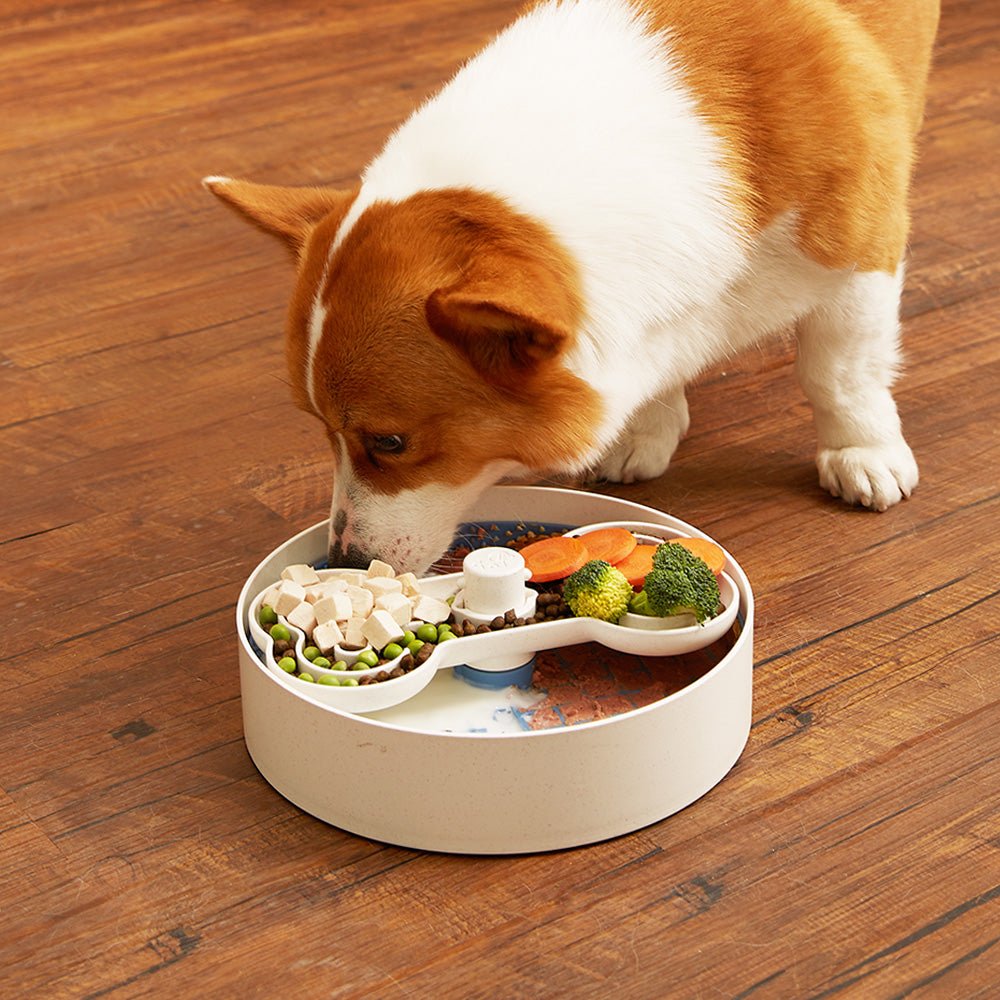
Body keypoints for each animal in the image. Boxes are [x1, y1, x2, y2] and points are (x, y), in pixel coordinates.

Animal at [207, 0, 940, 576]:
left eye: (389, 443)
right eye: (320, 430)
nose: (345, 562)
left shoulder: (864, 258)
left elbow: (837, 373)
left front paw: (863, 454)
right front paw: (646, 431)